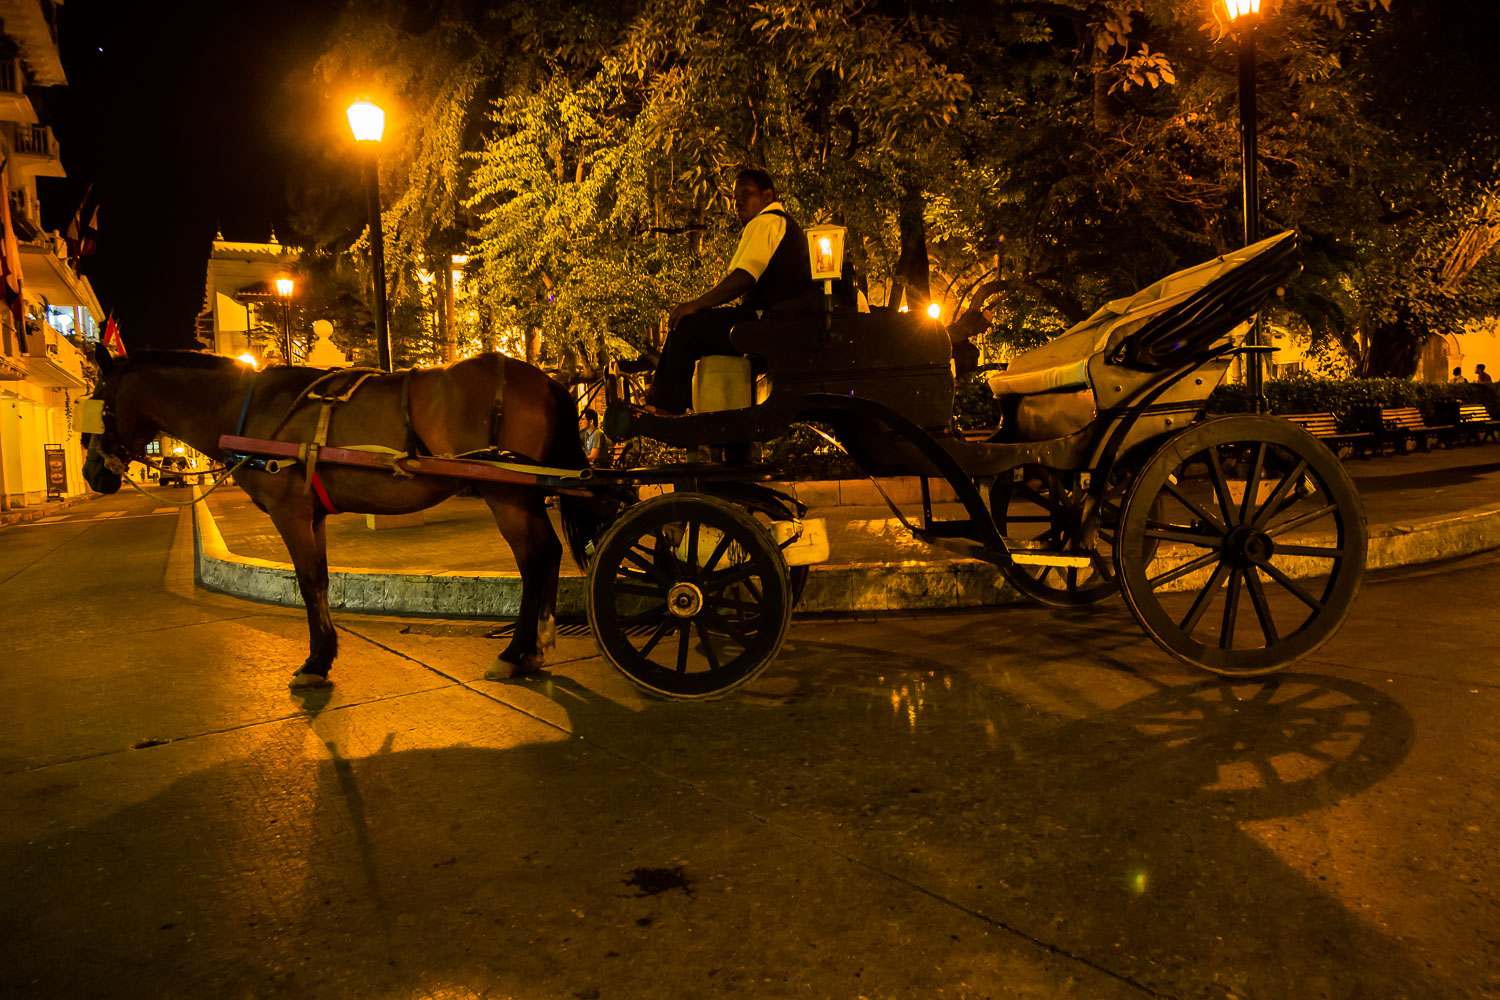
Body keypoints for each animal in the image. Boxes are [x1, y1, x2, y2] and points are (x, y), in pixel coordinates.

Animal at [80, 344, 609, 689]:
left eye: (98, 403)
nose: (90, 472)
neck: (249, 409)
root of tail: (544, 378)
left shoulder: (290, 512)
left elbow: (308, 582)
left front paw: (315, 662)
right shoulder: (312, 514)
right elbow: (321, 579)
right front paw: (324, 653)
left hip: (506, 493)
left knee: (536, 558)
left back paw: (517, 652)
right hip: (524, 493)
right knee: (547, 554)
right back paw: (534, 648)